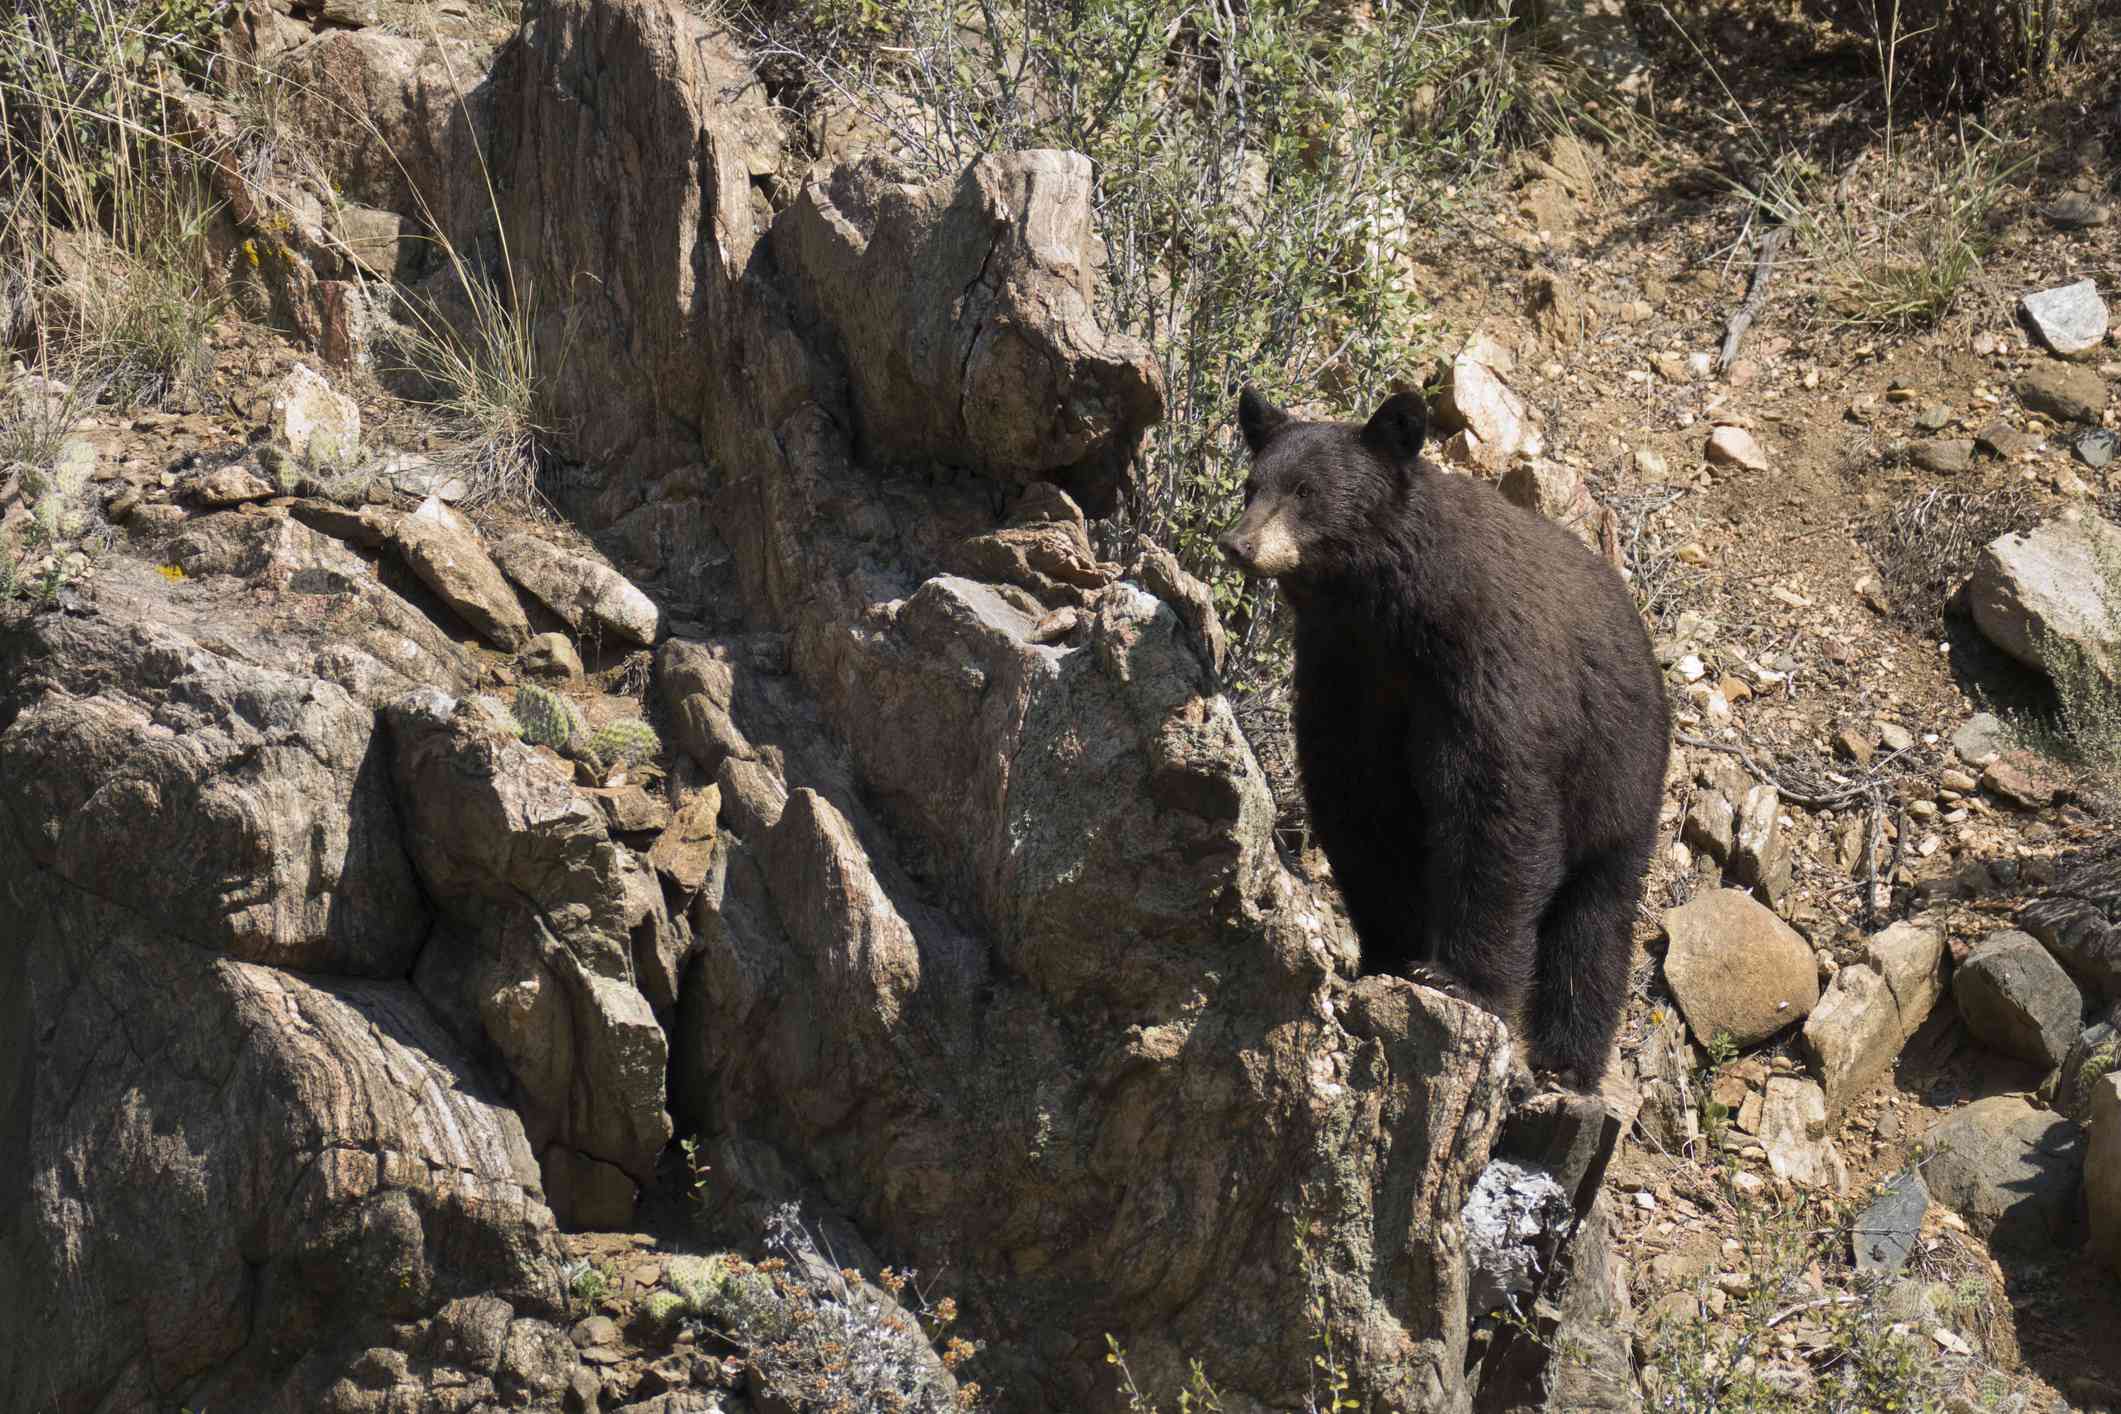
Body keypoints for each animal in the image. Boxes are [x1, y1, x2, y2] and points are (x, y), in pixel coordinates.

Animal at [1221, 387, 1662, 1085]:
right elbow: (1359, 803)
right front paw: (1389, 951)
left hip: (1620, 778)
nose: (1236, 543)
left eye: (1305, 491)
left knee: (1595, 921)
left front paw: (1458, 979)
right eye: (1251, 485)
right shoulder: (1347, 675)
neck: (1387, 612)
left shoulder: (1484, 666)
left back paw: (1567, 1063)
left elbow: (1497, 809)